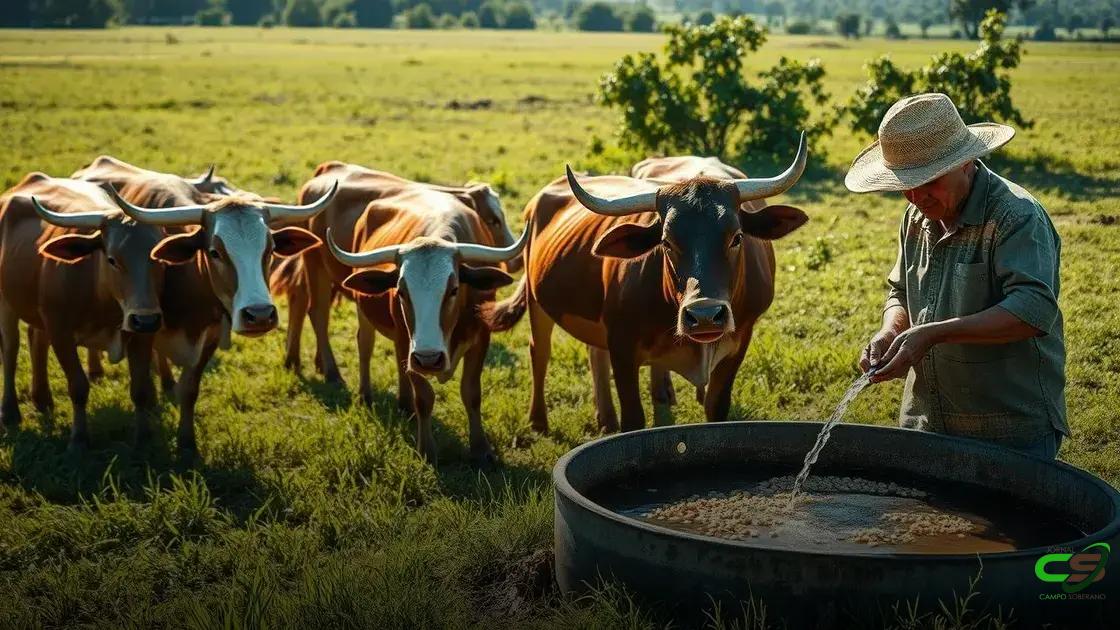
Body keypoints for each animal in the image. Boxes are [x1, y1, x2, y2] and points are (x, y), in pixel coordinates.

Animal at [0, 173, 166, 449]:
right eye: (112, 259)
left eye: (158, 258)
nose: (145, 320)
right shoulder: (61, 332)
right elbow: (78, 386)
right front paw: (78, 439)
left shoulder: (144, 335)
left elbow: (140, 389)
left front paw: (143, 438)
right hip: (6, 303)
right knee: (10, 348)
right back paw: (10, 411)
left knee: (36, 339)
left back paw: (42, 399)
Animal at [75, 159, 335, 451]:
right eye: (214, 252)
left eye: (270, 250)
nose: (259, 315)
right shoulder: (142, 326)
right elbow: (142, 384)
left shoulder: (209, 337)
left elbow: (189, 390)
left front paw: (187, 442)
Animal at [275, 162, 520, 389]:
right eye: (493, 220)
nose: (517, 261)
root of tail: (330, 169)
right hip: (316, 266)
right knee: (318, 313)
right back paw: (331, 372)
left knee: (299, 299)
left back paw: (298, 361)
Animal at [322, 193, 528, 466]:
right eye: (401, 291)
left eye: (454, 289)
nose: (429, 359)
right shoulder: (412, 348)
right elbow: (424, 397)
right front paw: (427, 449)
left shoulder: (481, 338)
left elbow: (471, 393)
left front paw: (481, 449)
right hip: (367, 314)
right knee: (365, 345)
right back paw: (366, 395)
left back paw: (404, 404)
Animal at [483, 135, 808, 434]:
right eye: (666, 242)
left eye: (737, 237)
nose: (704, 316)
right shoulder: (622, 349)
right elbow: (633, 420)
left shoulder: (739, 342)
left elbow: (715, 407)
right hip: (538, 301)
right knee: (540, 352)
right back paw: (539, 420)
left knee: (595, 353)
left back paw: (620, 412)